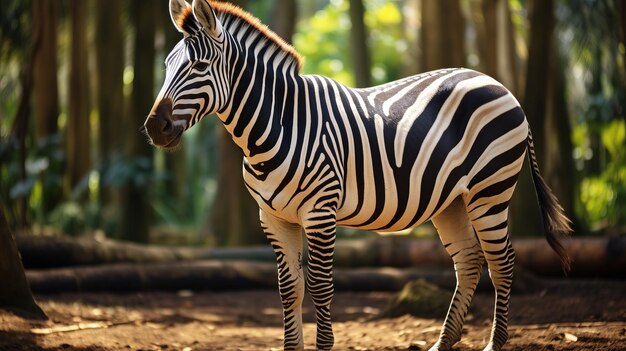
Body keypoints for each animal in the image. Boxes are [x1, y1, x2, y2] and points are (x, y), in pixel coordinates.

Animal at [141, 0, 572, 351]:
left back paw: (494, 343)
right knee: (469, 261)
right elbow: (289, 289)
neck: (276, 125)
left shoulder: (320, 213)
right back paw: (442, 343)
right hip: (451, 200)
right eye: (165, 67)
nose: (153, 128)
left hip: (490, 190)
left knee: (503, 262)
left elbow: (320, 286)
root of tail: (497, 84)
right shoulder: (274, 217)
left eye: (199, 67)